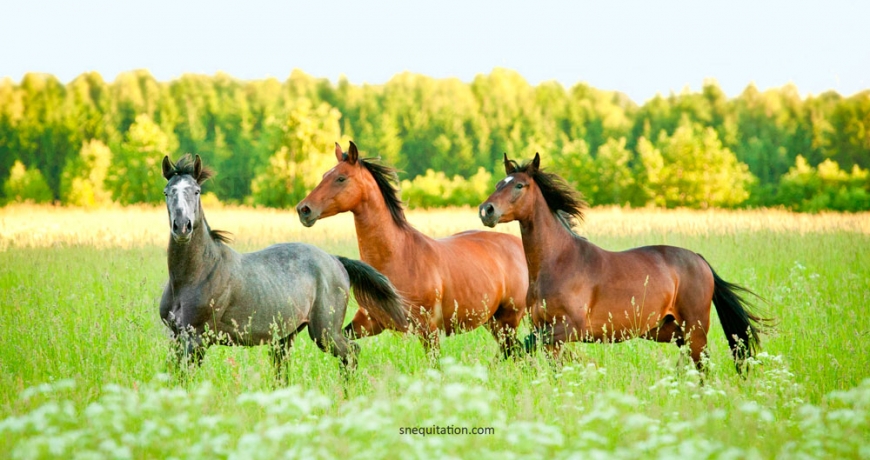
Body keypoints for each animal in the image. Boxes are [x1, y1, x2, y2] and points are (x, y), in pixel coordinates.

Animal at [158, 155, 410, 370]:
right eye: (167, 192)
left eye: (197, 191)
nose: (182, 227)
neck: (196, 275)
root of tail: (335, 260)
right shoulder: (176, 337)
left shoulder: (197, 338)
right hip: (286, 336)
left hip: (325, 332)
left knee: (352, 354)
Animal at [296, 142, 532, 358]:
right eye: (325, 175)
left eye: (341, 178)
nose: (304, 209)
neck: (398, 256)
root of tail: (518, 245)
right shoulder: (369, 322)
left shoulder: (428, 329)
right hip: (493, 322)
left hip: (508, 320)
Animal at [480, 153, 772, 372]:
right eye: (498, 184)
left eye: (519, 185)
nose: (486, 211)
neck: (558, 263)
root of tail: (700, 260)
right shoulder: (548, 331)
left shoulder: (570, 328)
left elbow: (524, 345)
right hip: (669, 331)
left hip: (694, 330)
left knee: (703, 367)